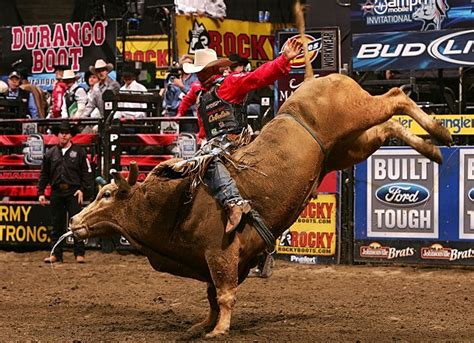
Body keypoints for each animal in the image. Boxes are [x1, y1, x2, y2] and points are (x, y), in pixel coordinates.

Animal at [67, 71, 452, 338]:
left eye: (105, 195)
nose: (73, 221)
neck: (173, 202)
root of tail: (317, 80)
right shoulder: (217, 259)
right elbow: (211, 295)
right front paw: (201, 326)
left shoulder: (220, 252)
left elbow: (223, 294)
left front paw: (219, 330)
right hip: (348, 148)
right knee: (388, 127)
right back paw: (433, 148)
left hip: (357, 113)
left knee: (395, 97)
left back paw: (441, 131)